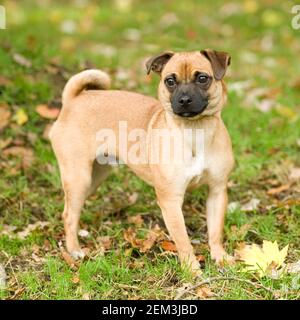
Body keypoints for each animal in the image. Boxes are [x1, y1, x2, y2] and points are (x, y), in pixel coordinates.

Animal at [49, 50, 234, 276]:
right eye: (170, 81)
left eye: (202, 78)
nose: (184, 99)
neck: (195, 130)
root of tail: (73, 100)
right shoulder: (170, 201)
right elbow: (183, 240)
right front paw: (191, 269)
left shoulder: (217, 192)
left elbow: (215, 231)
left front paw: (219, 256)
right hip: (79, 178)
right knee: (69, 214)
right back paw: (74, 249)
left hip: (93, 178)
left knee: (73, 209)